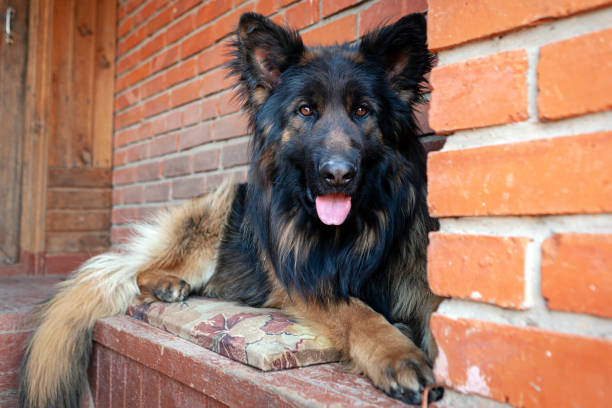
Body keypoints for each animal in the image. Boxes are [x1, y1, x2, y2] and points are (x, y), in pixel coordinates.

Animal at [19, 11, 442, 406]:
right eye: (306, 111)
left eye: (362, 111)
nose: (337, 175)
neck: (349, 230)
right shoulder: (306, 282)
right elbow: (360, 314)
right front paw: (398, 355)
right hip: (213, 214)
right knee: (139, 271)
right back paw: (168, 284)